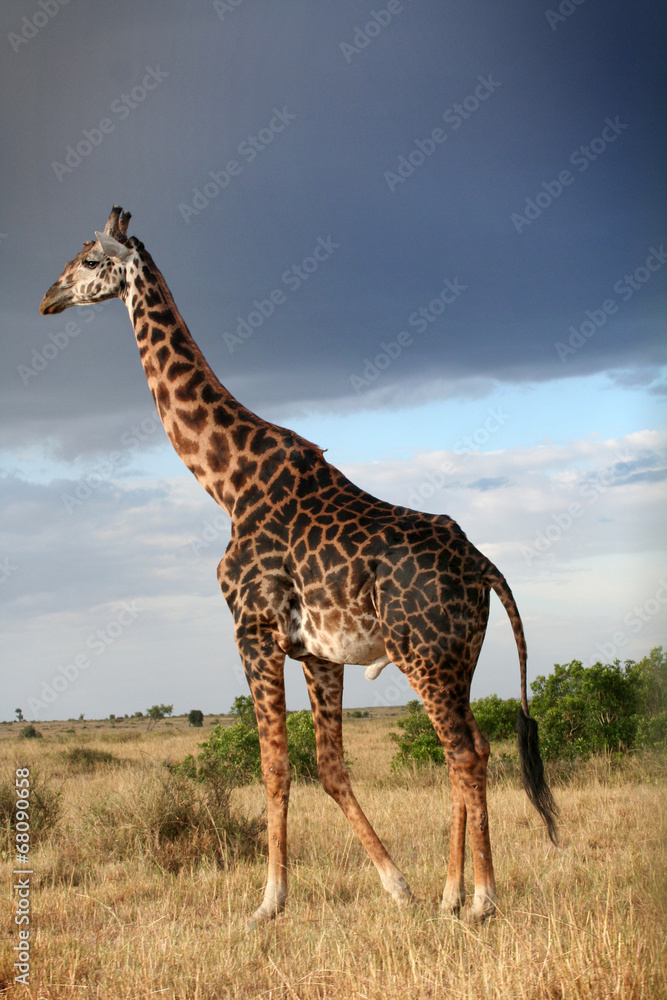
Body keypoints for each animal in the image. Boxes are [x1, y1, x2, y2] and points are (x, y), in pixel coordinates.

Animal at [40, 206, 558, 925]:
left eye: (89, 261)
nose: (47, 299)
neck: (225, 481)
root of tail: (484, 567)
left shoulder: (251, 628)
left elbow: (275, 766)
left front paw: (268, 902)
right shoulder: (315, 649)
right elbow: (329, 765)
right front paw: (398, 886)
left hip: (426, 653)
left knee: (463, 751)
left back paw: (481, 899)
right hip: (454, 656)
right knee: (469, 747)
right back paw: (451, 894)